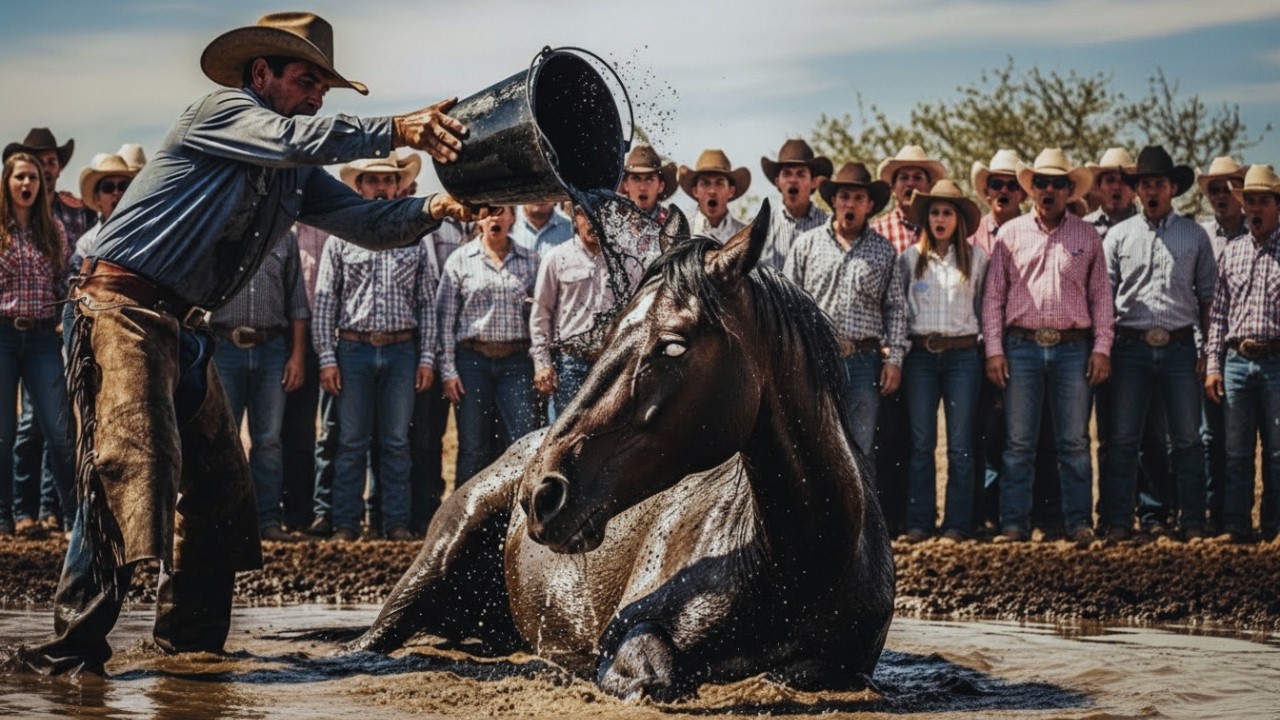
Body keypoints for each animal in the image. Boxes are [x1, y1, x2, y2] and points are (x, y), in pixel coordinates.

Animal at [348, 201, 895, 700]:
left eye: (673, 345)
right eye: (608, 332)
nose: (542, 491)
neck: (796, 563)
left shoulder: (842, 668)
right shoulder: (624, 635)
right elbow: (653, 677)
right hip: (436, 560)